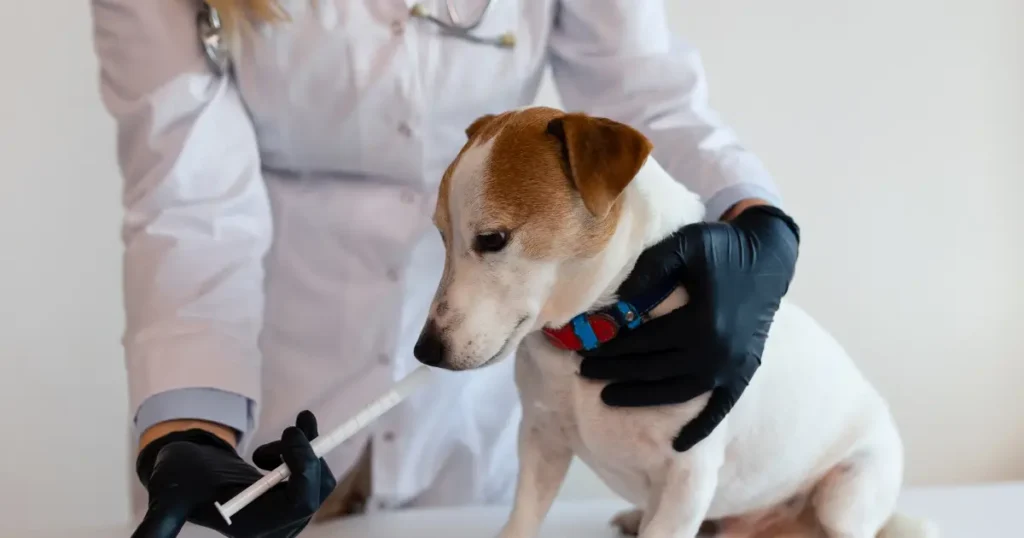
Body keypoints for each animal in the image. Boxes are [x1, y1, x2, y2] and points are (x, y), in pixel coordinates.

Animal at [411, 106, 937, 536]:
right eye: (441, 234)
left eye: (493, 239)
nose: (425, 351)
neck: (599, 329)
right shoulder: (541, 441)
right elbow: (521, 520)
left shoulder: (689, 475)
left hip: (846, 495)